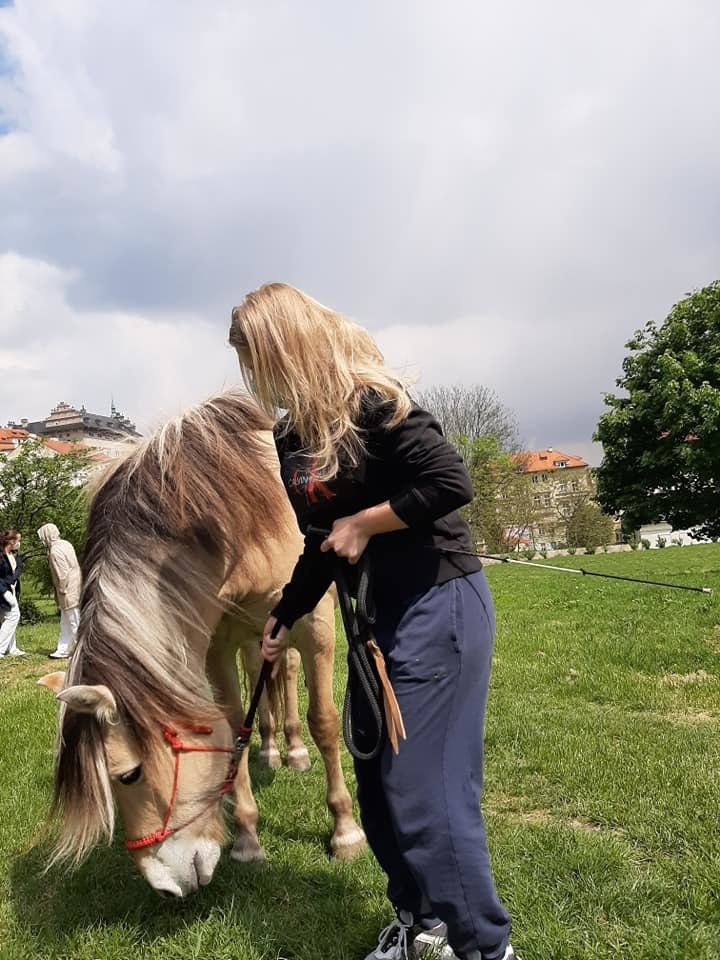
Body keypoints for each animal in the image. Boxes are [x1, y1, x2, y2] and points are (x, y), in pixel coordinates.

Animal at [43, 392, 366, 900]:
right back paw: (272, 748)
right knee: (262, 682)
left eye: (128, 774)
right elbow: (234, 726)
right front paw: (248, 840)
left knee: (289, 676)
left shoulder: (315, 626)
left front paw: (345, 832)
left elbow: (326, 723)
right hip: (256, 638)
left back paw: (294, 753)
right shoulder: (217, 647)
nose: (166, 889)